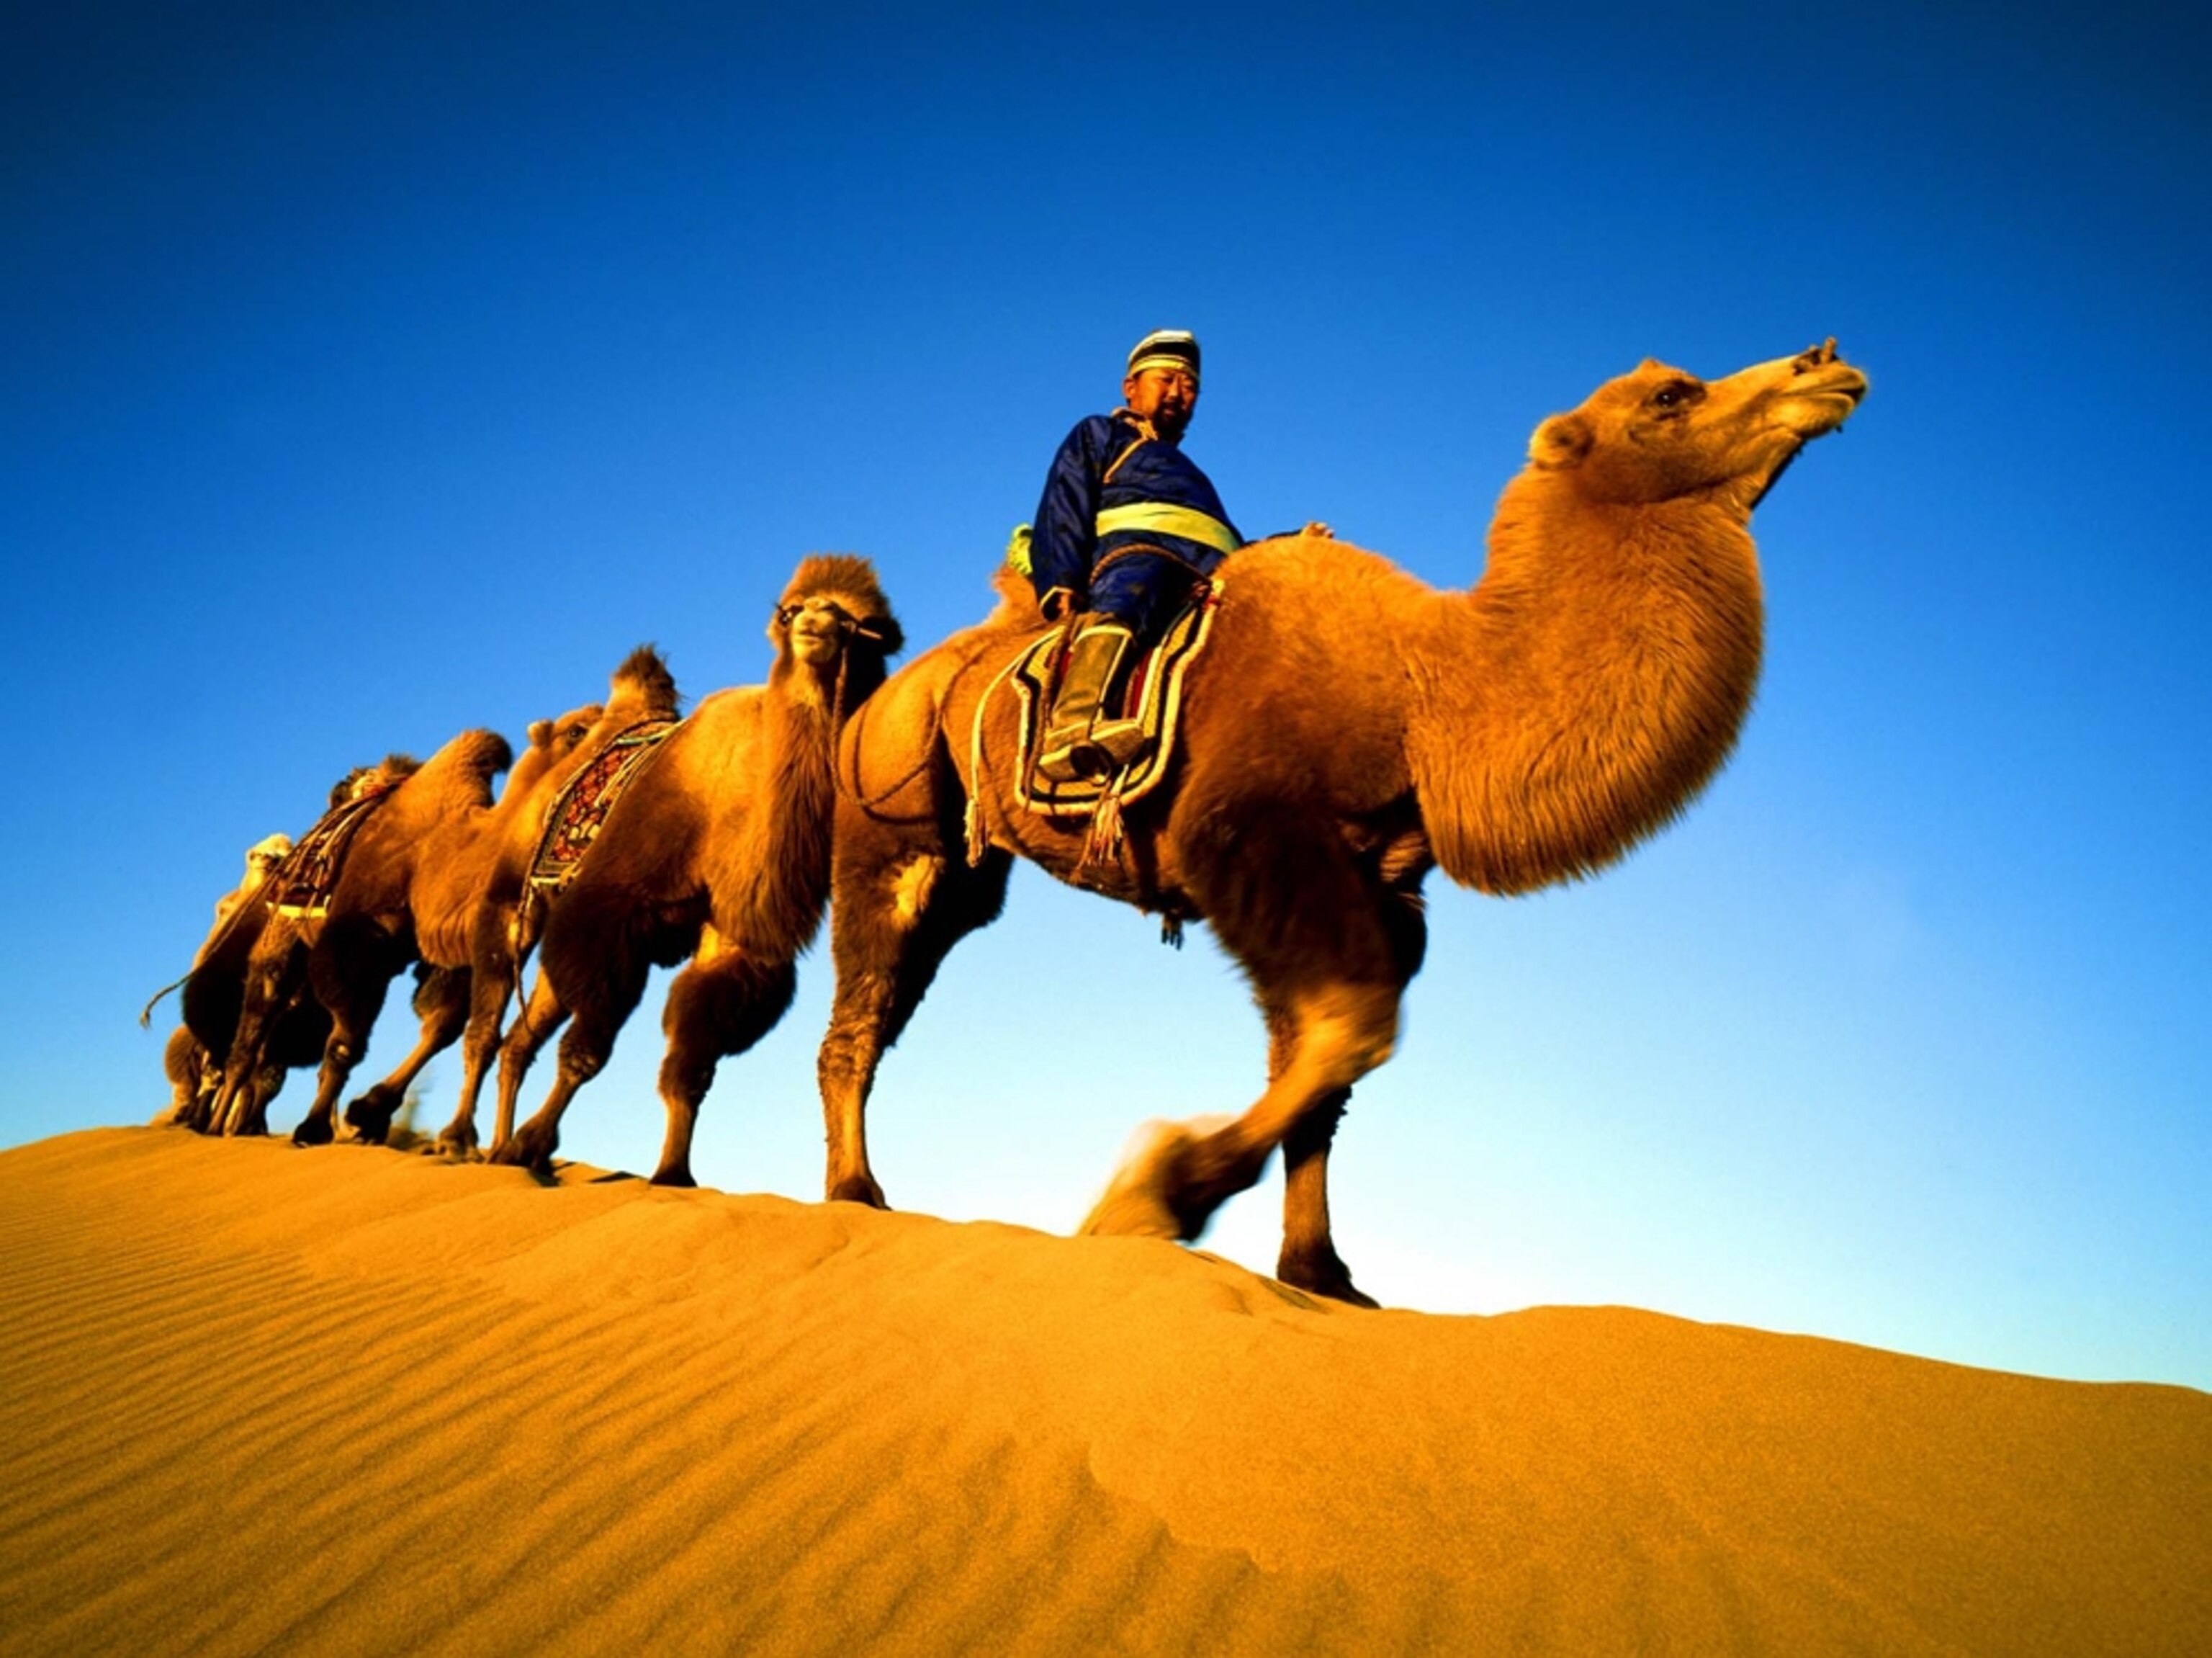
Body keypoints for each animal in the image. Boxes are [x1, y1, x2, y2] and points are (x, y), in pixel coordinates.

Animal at [489, 555, 903, 1186]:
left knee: (519, 1039)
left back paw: (493, 1150)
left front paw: (672, 1174)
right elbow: (588, 1051)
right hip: (532, 906)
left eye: (855, 621)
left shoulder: (729, 940)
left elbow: (690, 1065)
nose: (814, 624)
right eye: (793, 610)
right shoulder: (614, 912)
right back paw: (488, 1147)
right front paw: (533, 1143)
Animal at [814, 341, 1868, 1305]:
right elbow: (1354, 1024)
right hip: (890, 832)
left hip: (964, 875)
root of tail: (885, 698)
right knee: (859, 1013)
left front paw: (1319, 1274)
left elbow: (1323, 1077)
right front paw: (1158, 1189)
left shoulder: (1378, 882)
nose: (1827, 363)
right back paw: (855, 1192)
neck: (1422, 693)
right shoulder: (1246, 836)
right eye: (1668, 396)